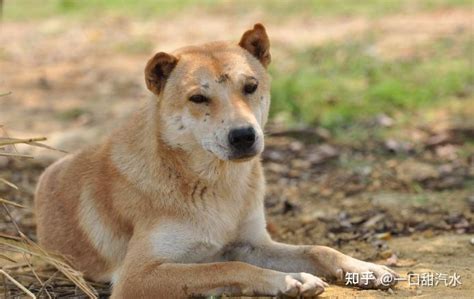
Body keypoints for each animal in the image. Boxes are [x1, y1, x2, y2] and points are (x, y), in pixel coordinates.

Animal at [34, 24, 396, 298]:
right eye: (198, 98)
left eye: (251, 86)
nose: (243, 136)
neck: (216, 183)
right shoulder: (136, 277)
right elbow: (227, 266)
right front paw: (285, 280)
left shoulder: (251, 243)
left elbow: (318, 249)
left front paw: (364, 268)